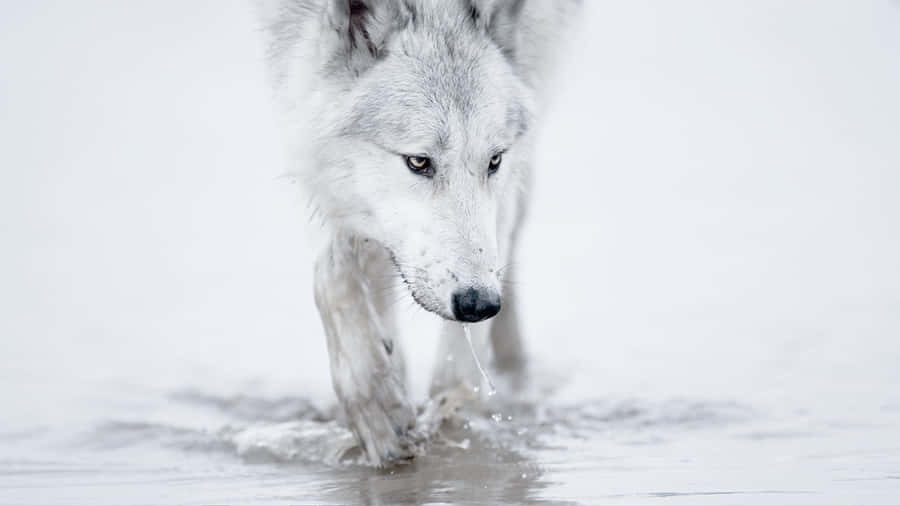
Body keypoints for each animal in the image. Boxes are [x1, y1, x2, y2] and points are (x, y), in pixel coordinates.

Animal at [257, 0, 579, 466]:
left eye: (494, 160)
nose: (479, 303)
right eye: (419, 162)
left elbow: (457, 367)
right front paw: (377, 403)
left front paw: (448, 417)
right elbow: (333, 270)